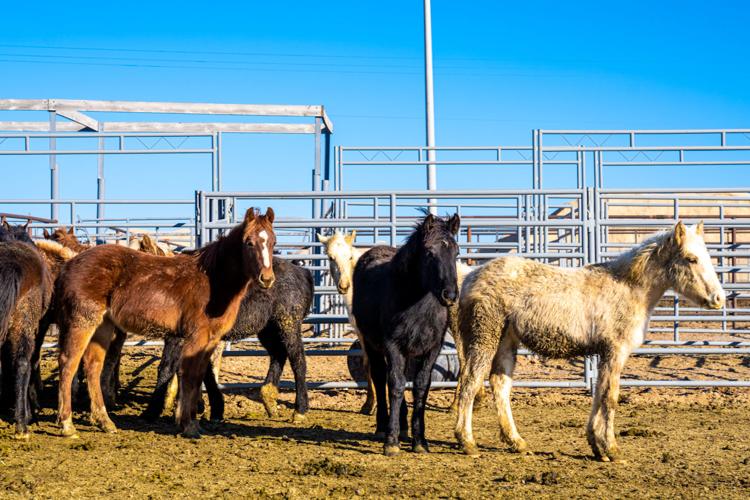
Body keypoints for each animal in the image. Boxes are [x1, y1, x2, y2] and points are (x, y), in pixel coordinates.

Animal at [54, 207, 276, 438]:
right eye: (249, 242)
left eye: (273, 242)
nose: (267, 279)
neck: (213, 281)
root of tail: (69, 264)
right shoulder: (196, 337)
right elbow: (190, 376)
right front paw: (188, 424)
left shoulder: (209, 341)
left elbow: (198, 377)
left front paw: (192, 422)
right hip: (82, 321)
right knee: (68, 363)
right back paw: (67, 425)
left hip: (103, 326)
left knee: (93, 365)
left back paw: (105, 422)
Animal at [143, 257, 313, 423]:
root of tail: (301, 272)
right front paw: (208, 408)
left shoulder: (177, 338)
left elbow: (166, 368)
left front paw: (152, 410)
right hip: (268, 329)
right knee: (278, 354)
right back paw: (269, 399)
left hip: (288, 324)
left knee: (298, 361)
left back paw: (300, 410)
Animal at [317, 230, 377, 415]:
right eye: (330, 257)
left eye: (349, 256)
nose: (344, 285)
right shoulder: (361, 332)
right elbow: (368, 365)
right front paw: (369, 404)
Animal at [353, 213, 461, 456]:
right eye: (429, 253)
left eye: (456, 252)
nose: (450, 295)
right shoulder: (392, 345)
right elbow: (395, 385)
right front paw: (391, 442)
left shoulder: (432, 348)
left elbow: (420, 387)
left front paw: (419, 441)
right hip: (372, 345)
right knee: (381, 377)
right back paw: (383, 428)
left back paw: (403, 428)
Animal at [454, 221, 725, 461]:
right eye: (691, 258)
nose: (719, 298)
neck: (628, 287)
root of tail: (469, 278)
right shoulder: (615, 350)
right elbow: (610, 396)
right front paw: (611, 449)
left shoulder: (606, 353)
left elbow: (599, 393)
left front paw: (597, 446)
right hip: (485, 337)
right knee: (470, 382)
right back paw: (467, 442)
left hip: (506, 342)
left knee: (500, 384)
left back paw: (516, 442)